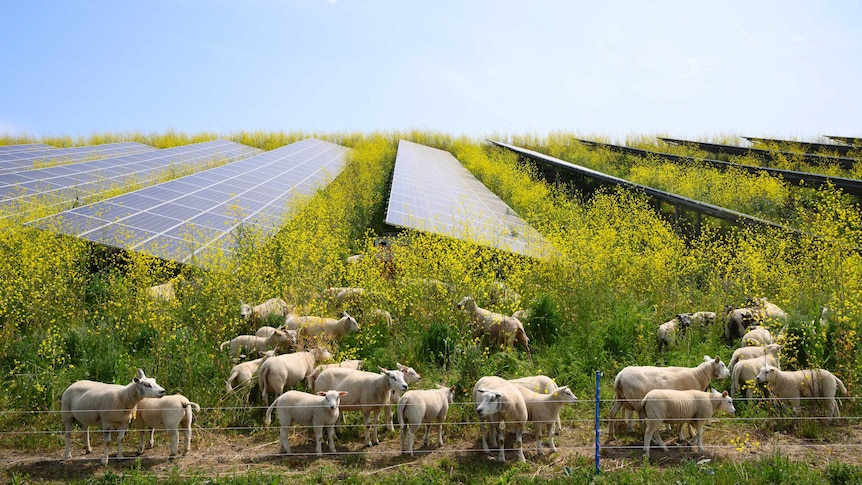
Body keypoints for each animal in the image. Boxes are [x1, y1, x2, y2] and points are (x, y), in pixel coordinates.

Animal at [604, 354, 732, 440]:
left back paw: (611, 435)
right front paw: (689, 434)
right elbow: (686, 422)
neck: (698, 376)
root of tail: (620, 377)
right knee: (641, 420)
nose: (729, 373)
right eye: (722, 365)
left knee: (612, 413)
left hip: (621, 397)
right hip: (637, 398)